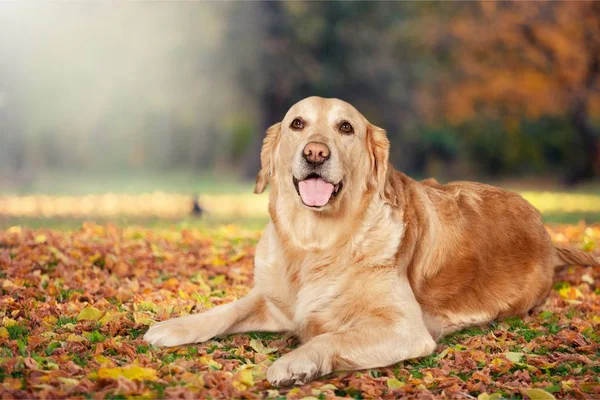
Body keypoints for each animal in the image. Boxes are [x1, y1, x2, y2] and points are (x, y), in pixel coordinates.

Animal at [143, 96, 596, 384]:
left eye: (346, 127)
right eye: (297, 123)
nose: (315, 153)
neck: (316, 243)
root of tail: (544, 230)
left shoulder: (405, 327)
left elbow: (333, 335)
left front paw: (296, 363)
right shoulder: (273, 301)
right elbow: (227, 310)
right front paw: (173, 326)